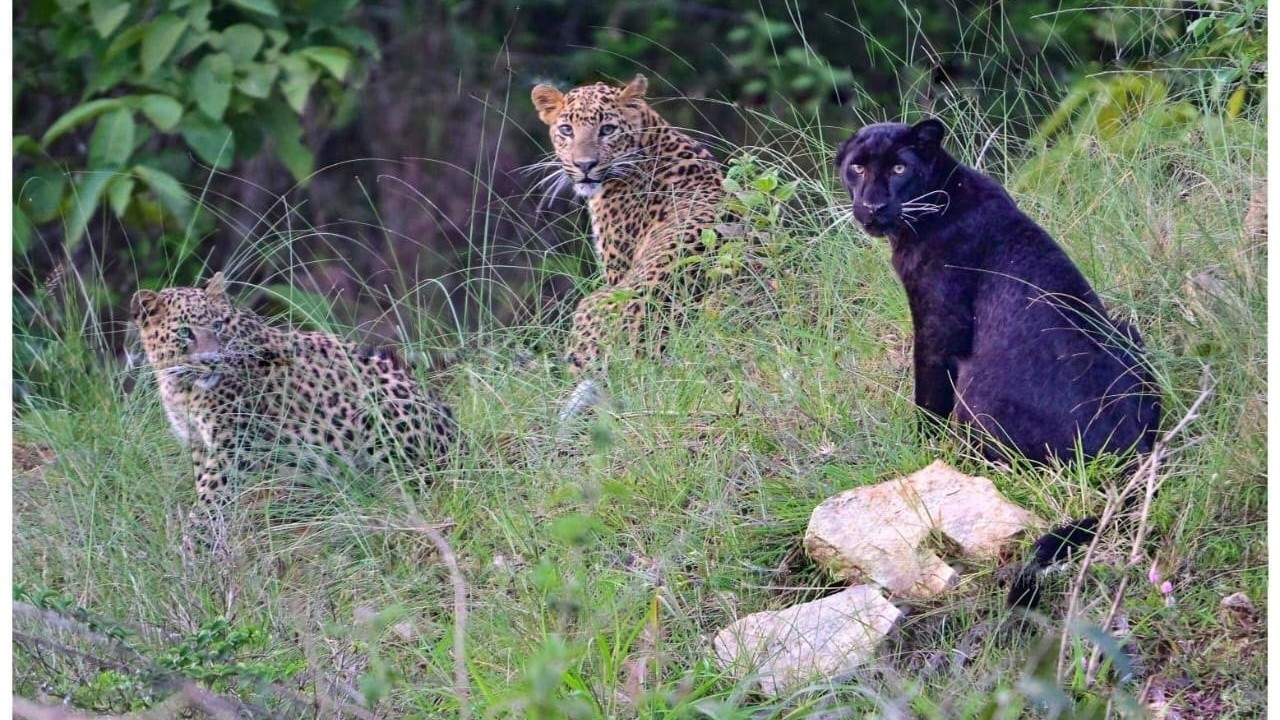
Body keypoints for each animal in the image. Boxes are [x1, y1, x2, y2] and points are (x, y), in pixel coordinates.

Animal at [131, 273, 457, 524]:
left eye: (218, 325)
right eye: (185, 332)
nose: (212, 360)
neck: (180, 385)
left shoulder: (234, 444)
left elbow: (213, 493)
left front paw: (197, 539)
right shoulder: (199, 442)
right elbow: (204, 486)